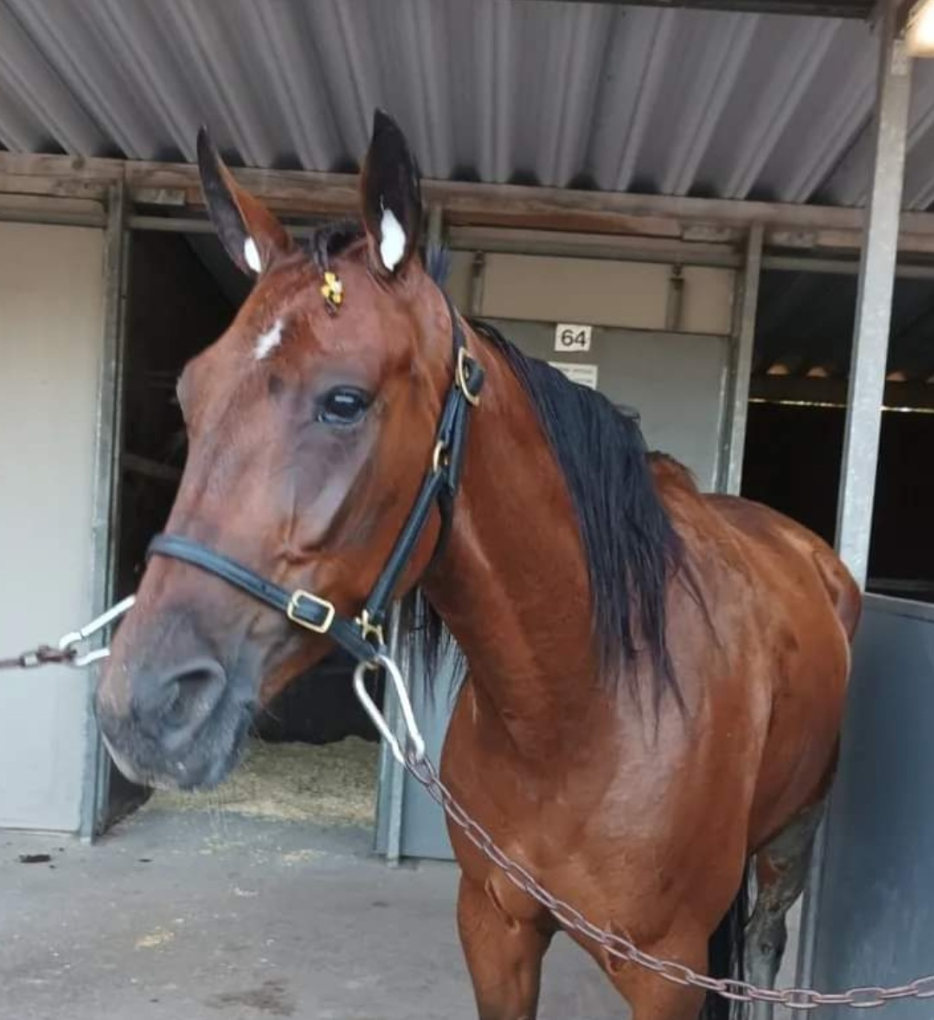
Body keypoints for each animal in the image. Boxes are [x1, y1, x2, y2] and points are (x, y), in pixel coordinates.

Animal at [95, 109, 861, 1020]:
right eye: (190, 395)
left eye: (345, 400)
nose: (140, 708)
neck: (576, 712)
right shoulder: (495, 927)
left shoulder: (668, 972)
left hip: (789, 844)